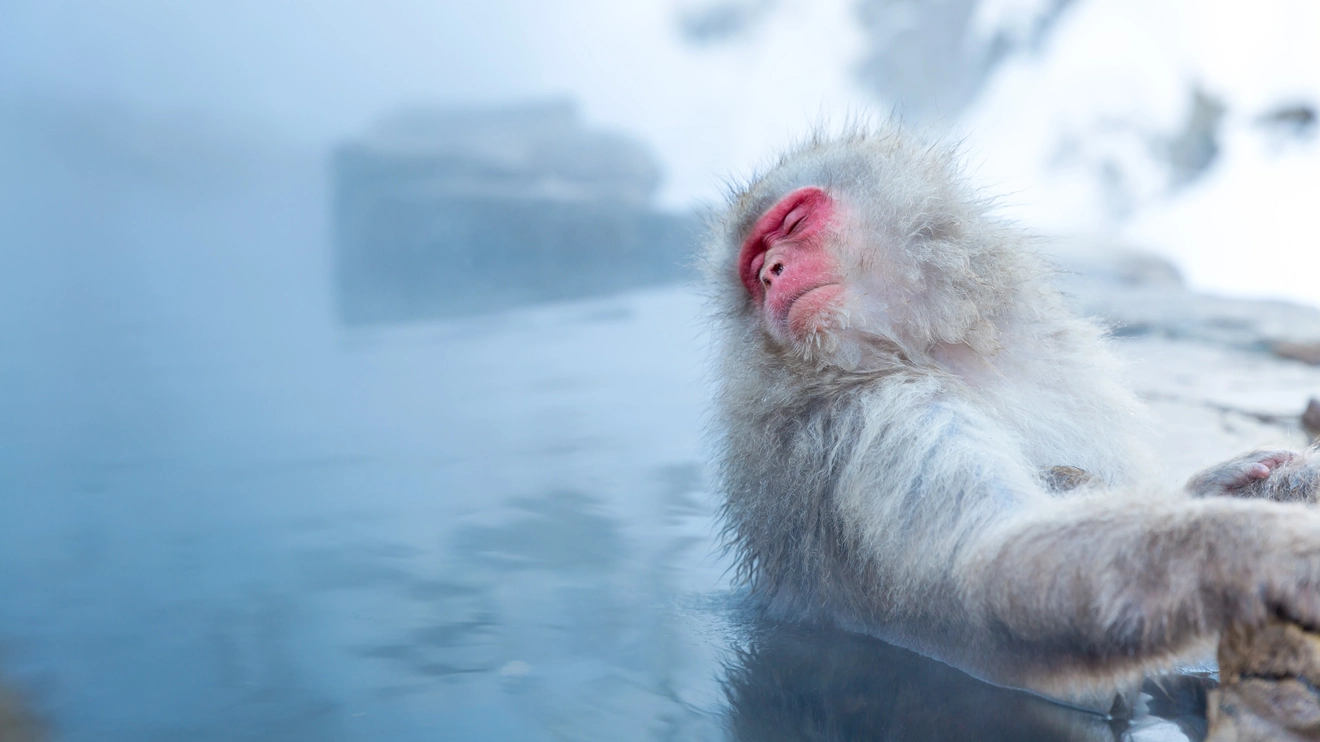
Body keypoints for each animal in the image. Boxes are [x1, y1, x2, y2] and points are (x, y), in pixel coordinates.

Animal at [701, 126, 1320, 705]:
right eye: (754, 266)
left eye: (793, 222)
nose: (771, 271)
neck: (915, 351)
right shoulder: (878, 420)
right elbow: (995, 568)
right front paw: (1269, 551)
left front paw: (1217, 486)